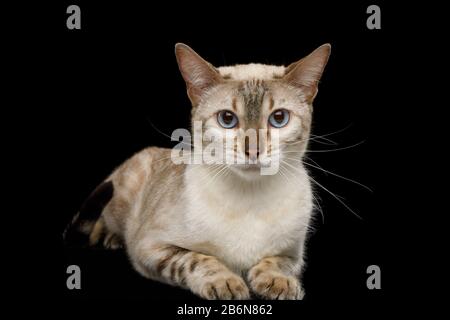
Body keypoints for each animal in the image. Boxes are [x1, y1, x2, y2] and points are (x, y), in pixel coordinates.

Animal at [63, 43, 330, 300]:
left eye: (279, 118)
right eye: (227, 119)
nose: (253, 150)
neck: (250, 197)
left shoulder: (294, 253)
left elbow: (275, 263)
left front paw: (278, 282)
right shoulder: (149, 246)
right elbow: (195, 259)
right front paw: (225, 282)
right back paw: (112, 238)